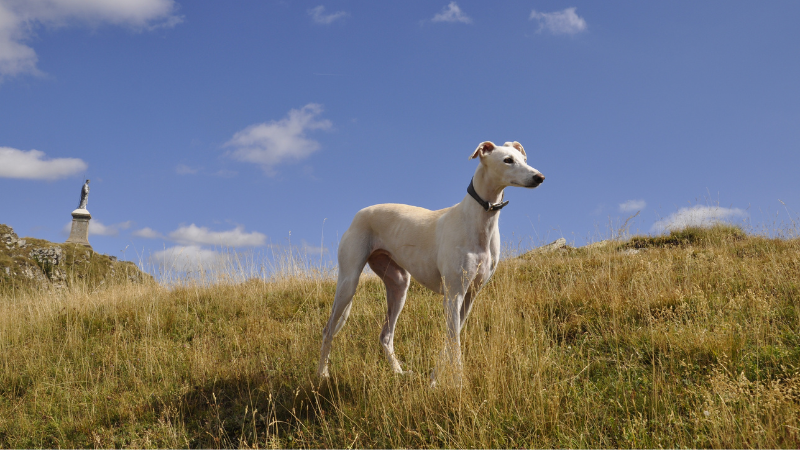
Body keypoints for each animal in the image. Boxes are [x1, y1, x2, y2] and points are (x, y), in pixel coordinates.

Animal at [318, 141, 544, 384]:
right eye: (508, 160)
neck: (479, 220)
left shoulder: (470, 296)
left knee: (385, 335)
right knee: (328, 330)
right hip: (348, 283)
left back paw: (398, 372)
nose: (540, 177)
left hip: (399, 286)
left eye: (524, 159)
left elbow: (450, 339)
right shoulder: (453, 294)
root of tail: (359, 213)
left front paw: (434, 381)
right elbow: (454, 343)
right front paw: (459, 383)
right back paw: (322, 374)